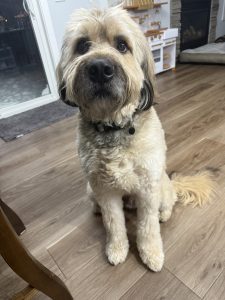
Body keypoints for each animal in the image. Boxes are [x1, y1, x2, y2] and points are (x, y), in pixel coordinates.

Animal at [56, 6, 214, 272]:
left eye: (122, 45)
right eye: (82, 45)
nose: (99, 69)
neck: (114, 127)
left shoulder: (148, 188)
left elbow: (147, 226)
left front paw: (151, 253)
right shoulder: (104, 189)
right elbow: (113, 223)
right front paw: (117, 249)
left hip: (161, 187)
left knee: (169, 203)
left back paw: (164, 215)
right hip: (90, 189)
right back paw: (97, 210)